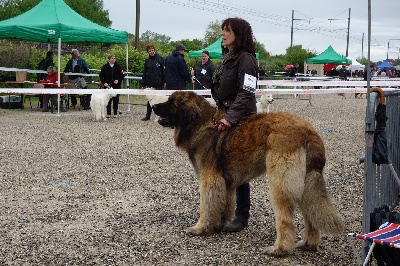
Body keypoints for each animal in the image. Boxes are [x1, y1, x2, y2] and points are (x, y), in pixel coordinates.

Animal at [153, 91, 344, 258]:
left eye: (171, 102)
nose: (154, 106)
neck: (201, 122)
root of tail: (309, 131)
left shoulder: (209, 179)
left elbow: (206, 206)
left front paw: (199, 228)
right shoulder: (226, 182)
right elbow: (224, 204)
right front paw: (218, 225)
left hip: (280, 183)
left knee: (286, 219)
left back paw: (279, 249)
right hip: (306, 181)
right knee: (310, 211)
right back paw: (308, 244)